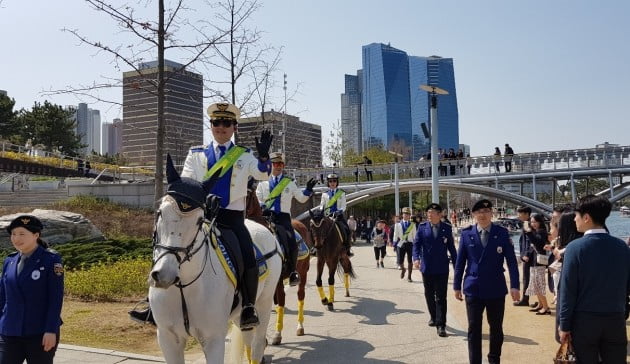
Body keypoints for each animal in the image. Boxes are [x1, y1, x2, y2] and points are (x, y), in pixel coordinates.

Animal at [149, 155, 282, 362]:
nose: (164, 274)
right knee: (248, 341)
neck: (183, 286)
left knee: (258, 345)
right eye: (160, 212)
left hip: (264, 303)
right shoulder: (167, 338)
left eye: (199, 220)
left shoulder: (214, 340)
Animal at [248, 188, 314, 344]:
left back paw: (300, 326)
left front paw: (276, 334)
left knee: (300, 296)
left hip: (303, 273)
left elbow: (280, 303)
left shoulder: (276, 281)